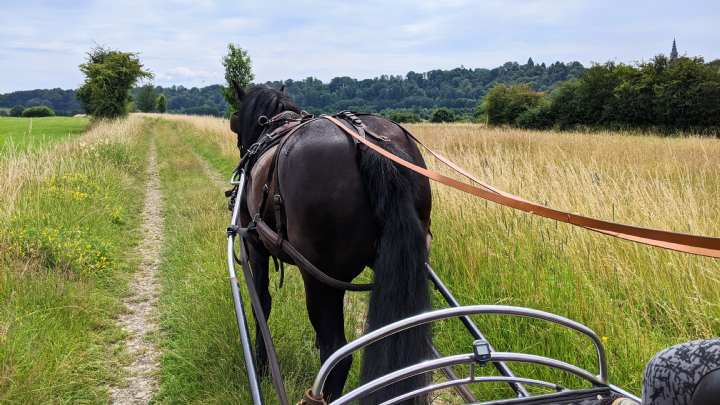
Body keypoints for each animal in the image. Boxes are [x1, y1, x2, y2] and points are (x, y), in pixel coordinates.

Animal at [231, 83, 434, 404]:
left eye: (235, 120)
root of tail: (366, 140)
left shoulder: (254, 246)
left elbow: (261, 304)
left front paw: (261, 367)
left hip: (322, 278)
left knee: (337, 354)